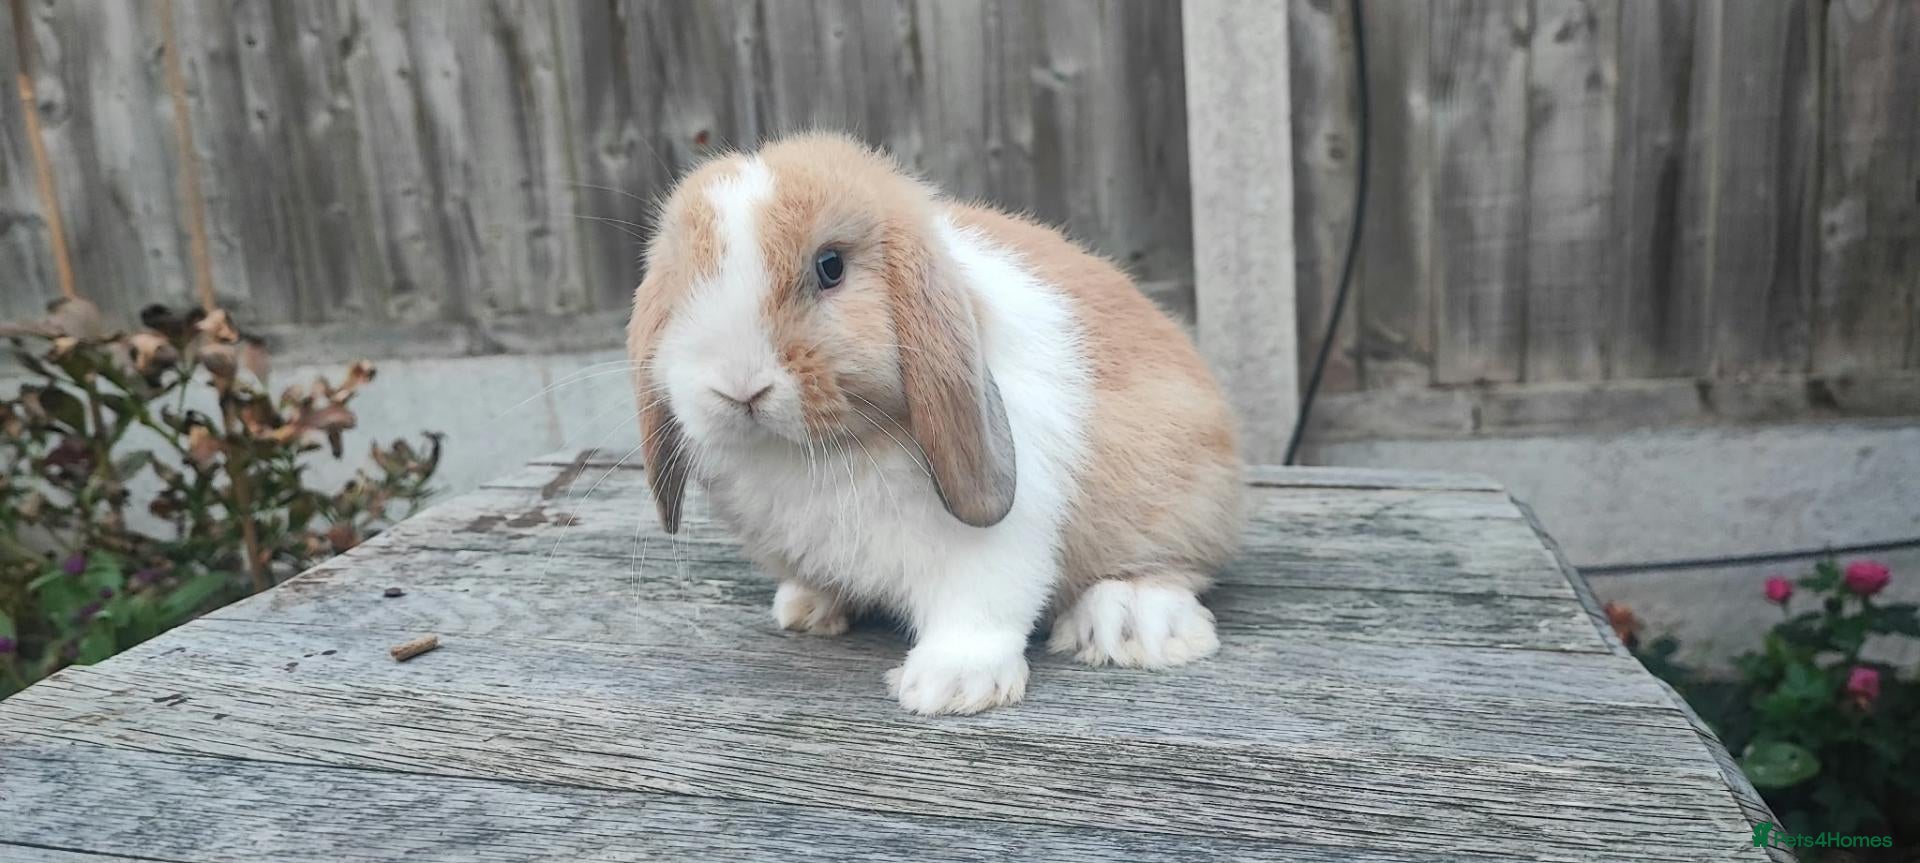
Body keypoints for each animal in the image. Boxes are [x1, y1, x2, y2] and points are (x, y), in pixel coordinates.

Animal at [627, 132, 1245, 715]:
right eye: (684, 279)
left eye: (831, 266)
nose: (738, 387)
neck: (825, 451)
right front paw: (809, 607)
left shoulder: (999, 541)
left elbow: (980, 604)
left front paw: (949, 687)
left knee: (1170, 566)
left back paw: (1130, 625)